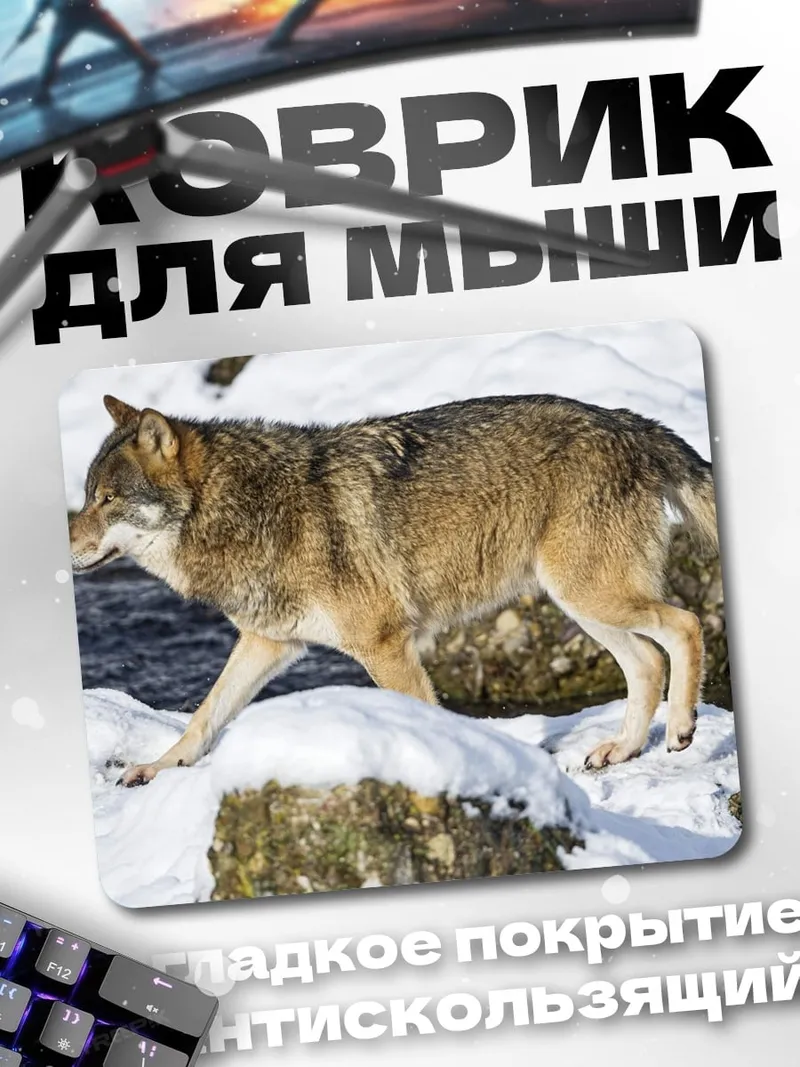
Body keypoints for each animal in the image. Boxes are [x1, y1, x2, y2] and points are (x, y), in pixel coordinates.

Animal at [69, 393, 720, 786]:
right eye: (87, 496)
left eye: (107, 499)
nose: (65, 542)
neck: (247, 509)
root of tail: (626, 419)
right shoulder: (268, 643)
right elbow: (203, 717)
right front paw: (157, 768)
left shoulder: (384, 645)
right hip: (581, 603)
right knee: (646, 663)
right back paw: (622, 750)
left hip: (587, 594)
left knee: (685, 625)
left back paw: (681, 729)